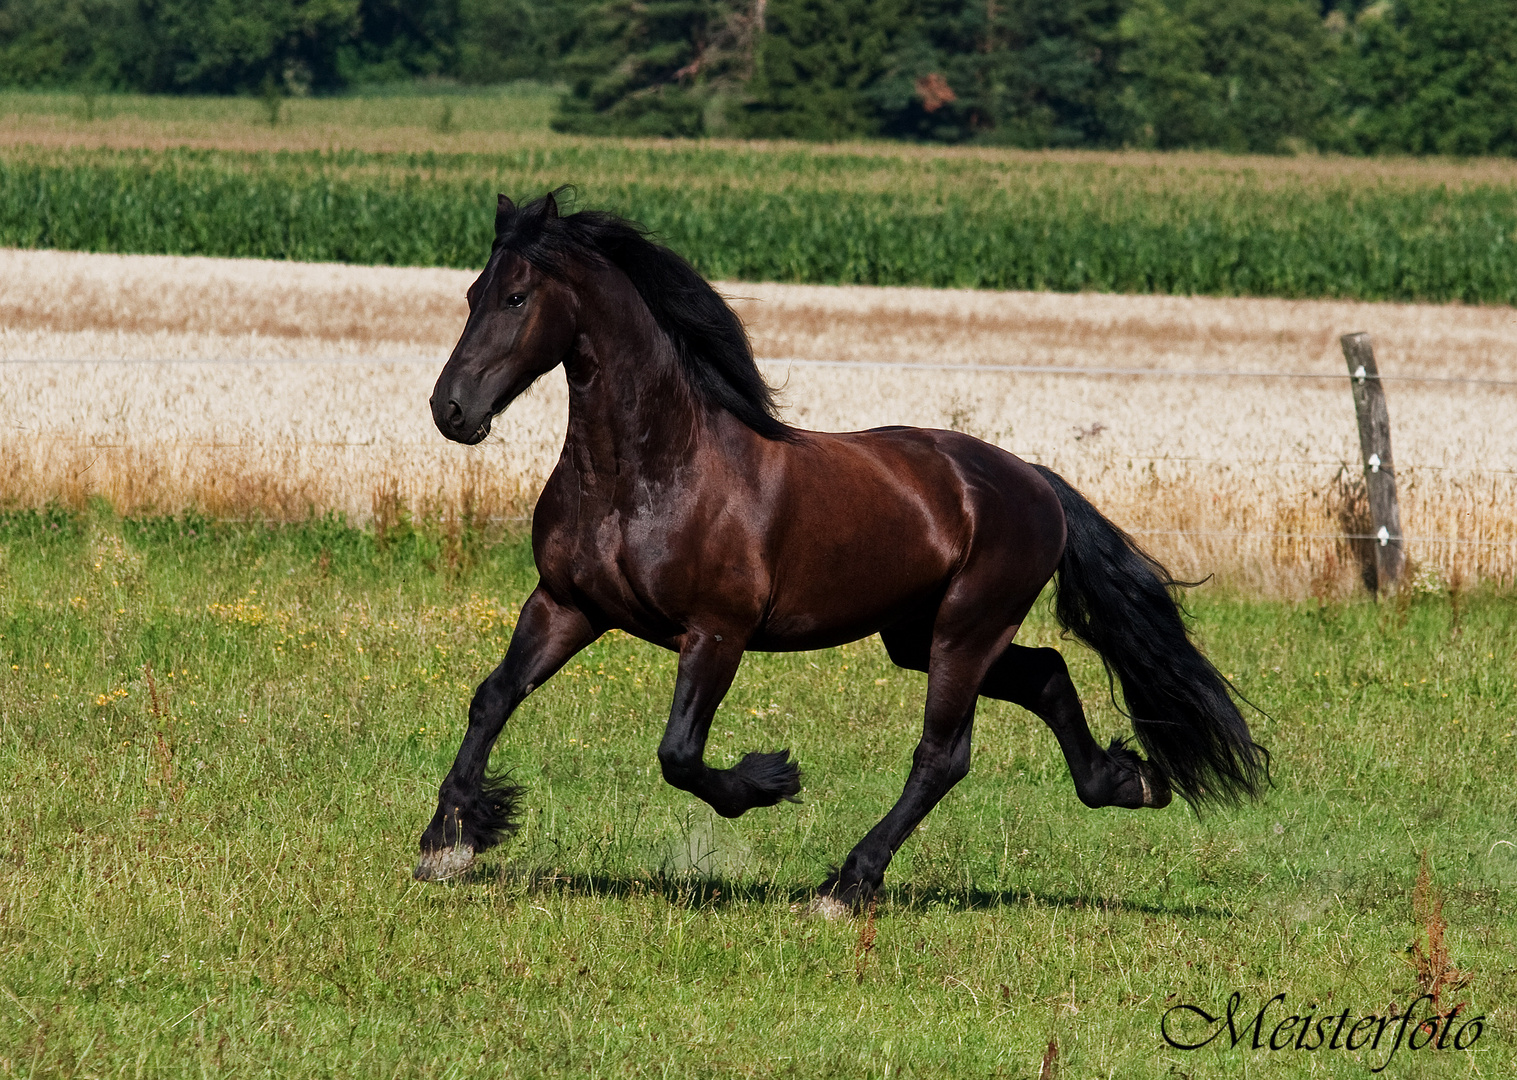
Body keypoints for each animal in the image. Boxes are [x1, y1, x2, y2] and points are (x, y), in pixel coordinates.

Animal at [418, 194, 1268, 910]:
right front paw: (448, 841)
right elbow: (493, 697)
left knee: (942, 755)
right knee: (1048, 675)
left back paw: (846, 883)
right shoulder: (566, 604)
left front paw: (769, 779)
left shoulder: (717, 632)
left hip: (965, 629)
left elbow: (680, 754)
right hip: (916, 635)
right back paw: (1128, 781)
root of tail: (1034, 483)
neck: (649, 473)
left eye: (516, 297)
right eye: (470, 294)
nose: (450, 410)